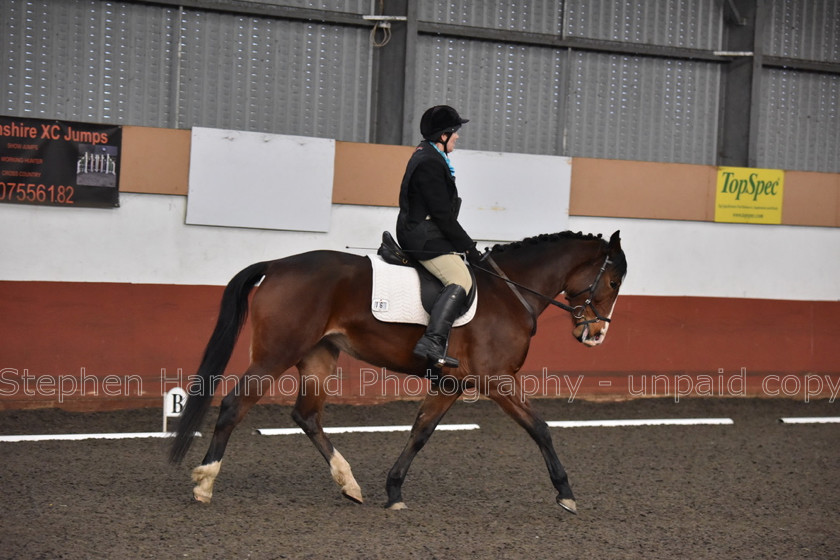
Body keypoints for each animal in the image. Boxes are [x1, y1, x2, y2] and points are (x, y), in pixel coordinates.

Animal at [171, 230, 628, 516]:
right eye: (613, 280)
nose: (597, 334)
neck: (511, 292)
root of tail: (278, 264)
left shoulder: (451, 382)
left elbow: (420, 432)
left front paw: (393, 491)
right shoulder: (497, 379)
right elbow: (541, 429)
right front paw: (566, 495)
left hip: (318, 356)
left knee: (307, 415)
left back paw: (349, 484)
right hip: (277, 353)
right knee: (235, 404)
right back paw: (205, 483)